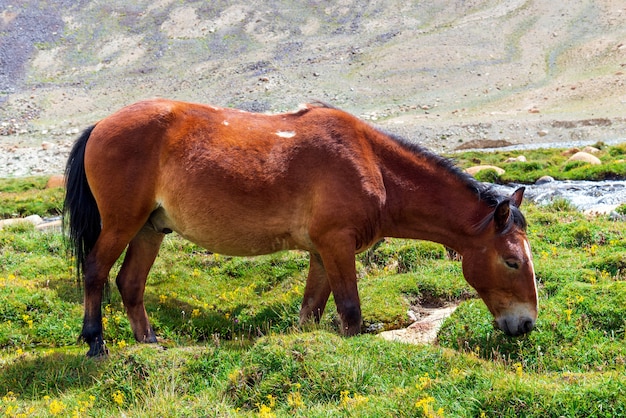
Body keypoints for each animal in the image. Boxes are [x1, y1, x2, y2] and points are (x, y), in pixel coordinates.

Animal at [64, 98, 536, 356]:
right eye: (512, 261)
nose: (526, 324)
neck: (371, 163)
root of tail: (101, 125)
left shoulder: (321, 253)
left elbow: (311, 311)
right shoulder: (337, 245)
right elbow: (350, 311)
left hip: (149, 230)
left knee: (130, 283)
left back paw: (148, 341)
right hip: (122, 224)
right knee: (96, 272)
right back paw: (95, 342)